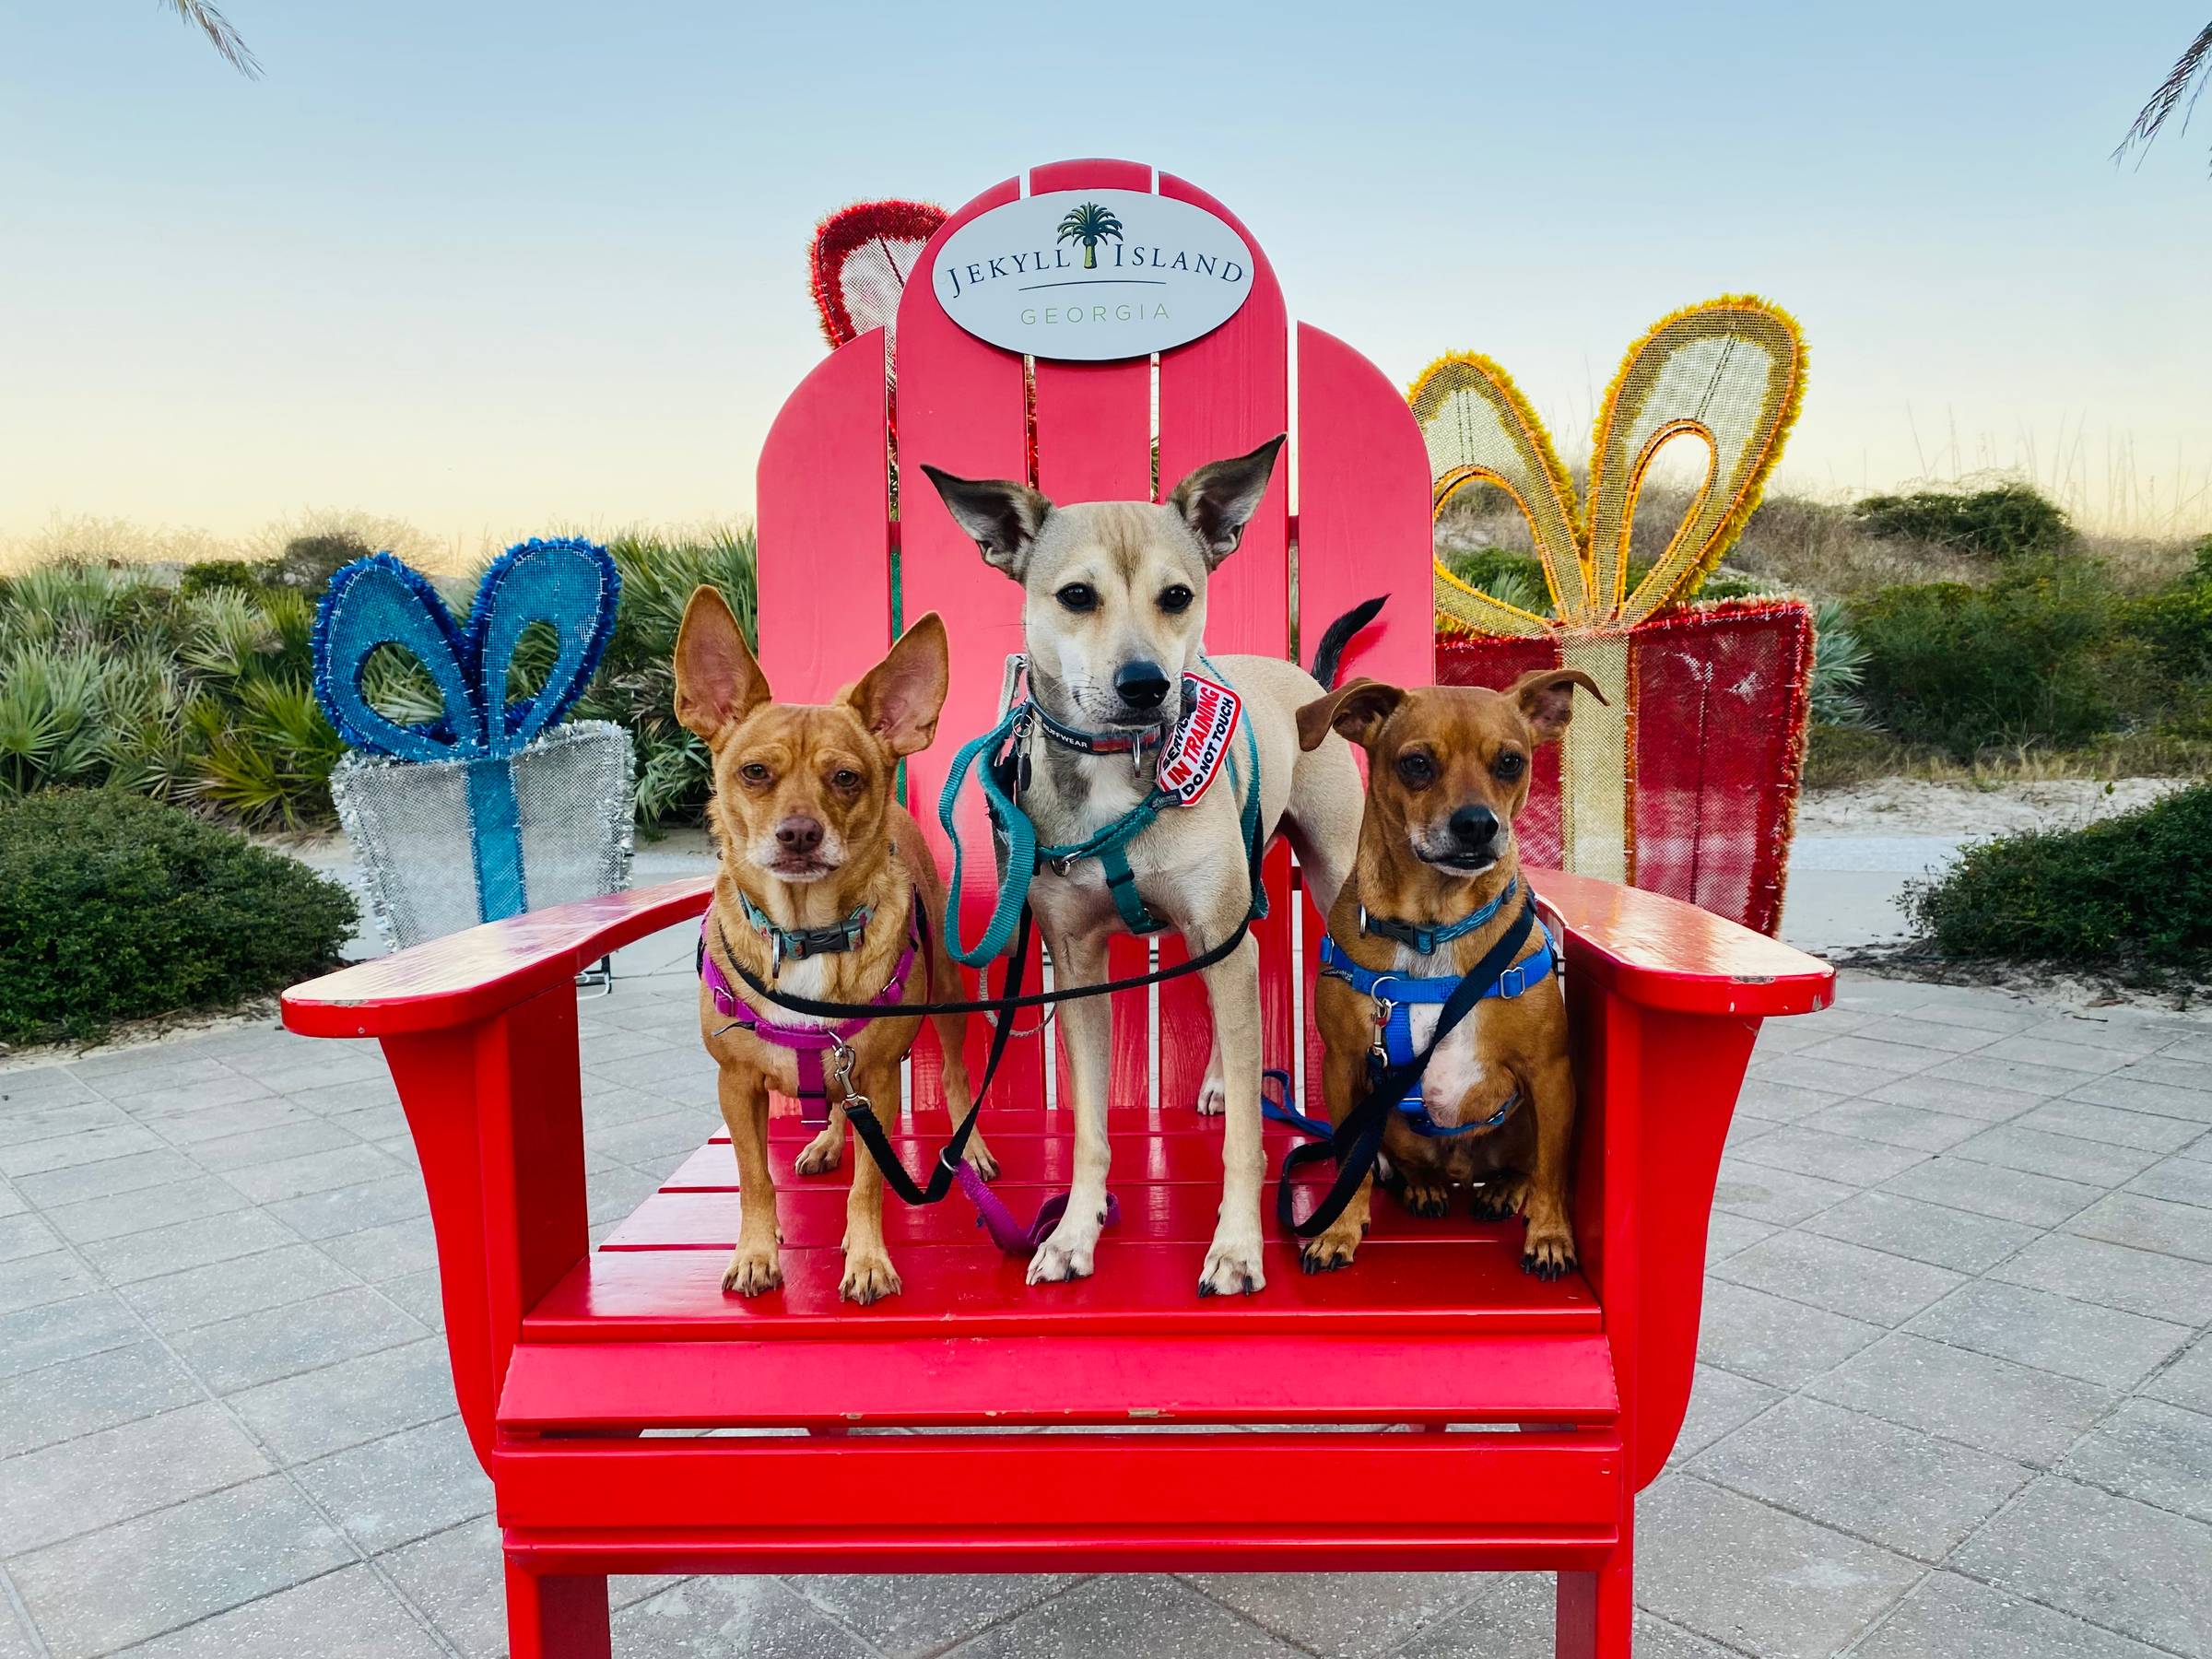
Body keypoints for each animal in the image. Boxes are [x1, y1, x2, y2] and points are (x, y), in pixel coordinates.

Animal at [674, 588, 993, 1305]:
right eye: (754, 773)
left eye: (846, 778)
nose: (799, 833)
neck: (805, 934)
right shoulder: (737, 1085)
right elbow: (754, 1179)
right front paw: (757, 1251)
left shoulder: (877, 1074)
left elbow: (870, 1183)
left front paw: (868, 1257)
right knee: (840, 1107)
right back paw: (826, 1142)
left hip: (947, 1001)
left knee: (956, 1078)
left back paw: (971, 1148)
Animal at [920, 437, 1367, 1297]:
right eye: (1076, 595)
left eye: (1177, 596)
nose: (1146, 685)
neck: (1117, 767)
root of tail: (1306, 680)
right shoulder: (1078, 965)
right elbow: (1091, 1128)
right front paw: (1074, 1230)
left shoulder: (1218, 929)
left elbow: (1243, 1142)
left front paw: (1237, 1245)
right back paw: (1224, 1077)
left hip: (1320, 880)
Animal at [1293, 668, 1602, 1279]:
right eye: (1416, 763)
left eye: (1510, 762)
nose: (1478, 824)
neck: (1434, 928)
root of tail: (1463, 1171)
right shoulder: (1344, 1066)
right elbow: (1350, 1165)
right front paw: (1338, 1229)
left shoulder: (1550, 1073)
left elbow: (1553, 1172)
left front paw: (1551, 1236)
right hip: (1390, 1121)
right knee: (1407, 1166)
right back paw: (1426, 1188)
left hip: (1529, 1117)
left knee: (1527, 1168)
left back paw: (1504, 1190)